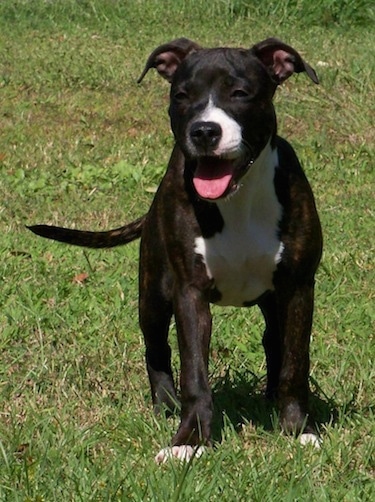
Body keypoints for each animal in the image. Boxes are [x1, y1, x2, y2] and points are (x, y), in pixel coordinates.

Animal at [29, 38, 324, 462]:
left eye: (240, 94)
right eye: (182, 96)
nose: (204, 131)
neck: (238, 199)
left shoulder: (298, 287)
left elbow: (295, 362)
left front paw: (298, 429)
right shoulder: (189, 292)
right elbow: (194, 371)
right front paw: (190, 440)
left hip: (271, 299)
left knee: (274, 342)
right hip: (153, 292)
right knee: (156, 348)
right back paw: (165, 404)